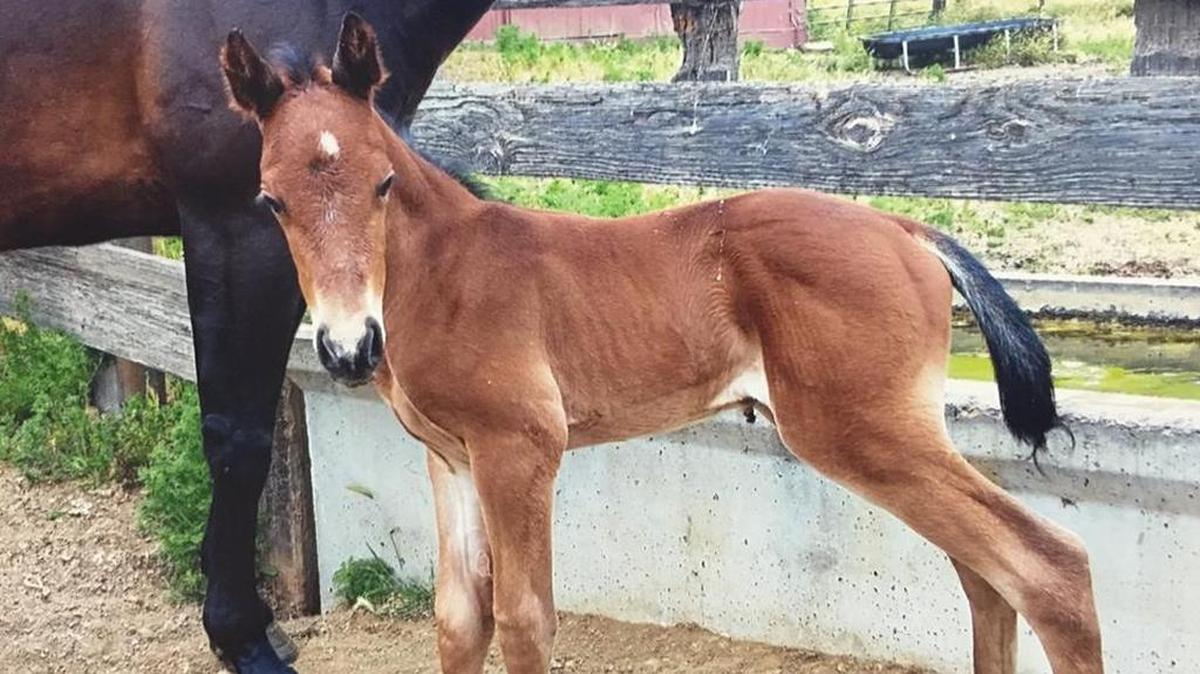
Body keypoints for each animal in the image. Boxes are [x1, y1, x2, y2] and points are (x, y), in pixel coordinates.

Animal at [221, 14, 1105, 674]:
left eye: (383, 183)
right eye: (270, 200)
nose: (348, 349)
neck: (441, 274)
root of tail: (905, 228)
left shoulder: (521, 448)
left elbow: (526, 619)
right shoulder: (451, 458)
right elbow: (460, 619)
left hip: (865, 433)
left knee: (1047, 567)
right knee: (987, 576)